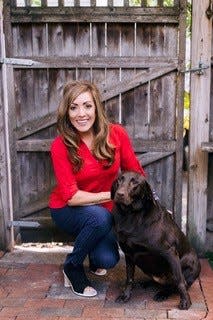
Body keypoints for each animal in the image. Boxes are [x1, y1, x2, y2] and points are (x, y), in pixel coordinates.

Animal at [111, 172, 201, 310]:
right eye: (119, 180)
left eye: (135, 182)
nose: (120, 194)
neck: (131, 215)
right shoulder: (129, 254)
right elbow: (129, 279)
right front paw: (125, 296)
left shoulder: (170, 253)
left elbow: (179, 280)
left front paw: (185, 301)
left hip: (188, 264)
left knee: (178, 284)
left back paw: (163, 293)